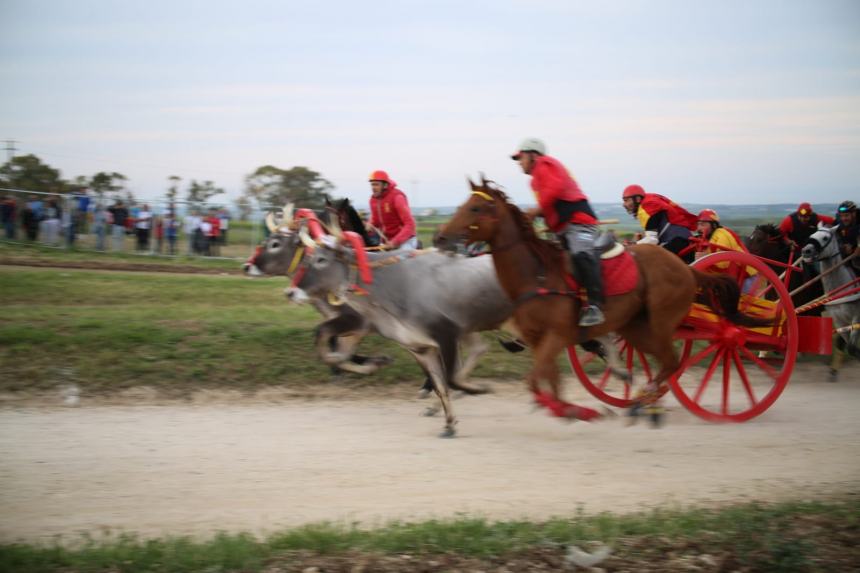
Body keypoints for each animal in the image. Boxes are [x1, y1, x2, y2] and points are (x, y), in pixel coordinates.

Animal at [436, 178, 764, 420]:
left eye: (476, 208)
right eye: (463, 204)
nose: (441, 237)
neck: (539, 274)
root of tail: (687, 269)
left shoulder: (556, 336)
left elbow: (536, 380)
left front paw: (573, 410)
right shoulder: (542, 340)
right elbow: (549, 380)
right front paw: (568, 407)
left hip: (659, 325)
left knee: (672, 362)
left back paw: (645, 400)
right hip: (635, 326)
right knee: (664, 362)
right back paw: (641, 399)